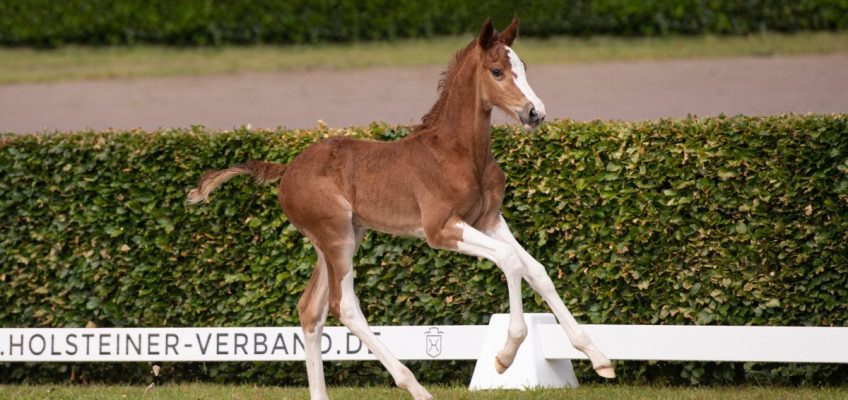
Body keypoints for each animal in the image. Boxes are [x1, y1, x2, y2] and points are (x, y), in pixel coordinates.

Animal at [189, 17, 612, 398]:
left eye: (523, 67)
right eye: (497, 71)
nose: (535, 113)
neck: (459, 152)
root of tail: (288, 168)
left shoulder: (489, 219)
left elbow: (536, 270)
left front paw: (598, 357)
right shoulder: (440, 229)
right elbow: (511, 261)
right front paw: (505, 357)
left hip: (341, 237)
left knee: (311, 309)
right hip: (336, 236)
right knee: (345, 307)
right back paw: (418, 388)